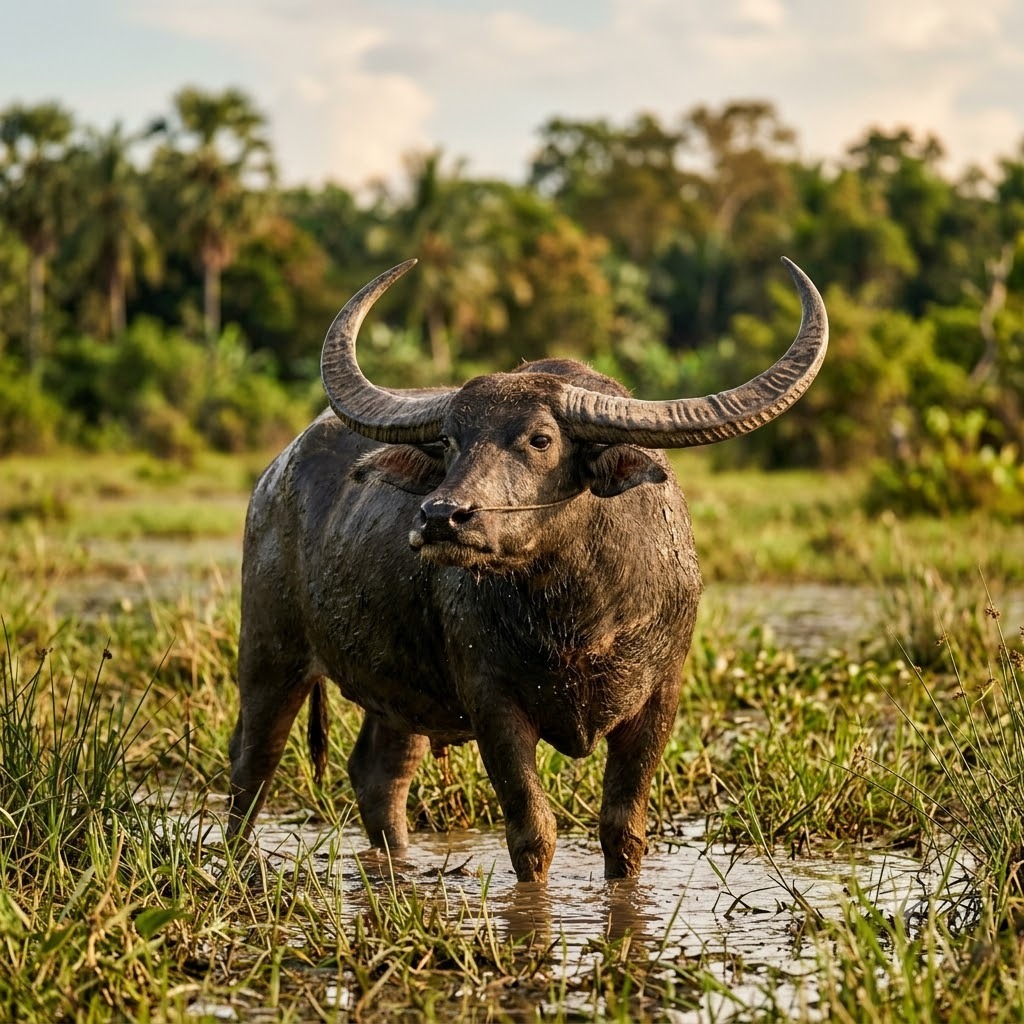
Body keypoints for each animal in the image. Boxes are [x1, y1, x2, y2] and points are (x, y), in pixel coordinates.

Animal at [228, 258, 828, 882]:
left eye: (541, 439)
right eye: (450, 439)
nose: (440, 516)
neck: (580, 613)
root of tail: (274, 473)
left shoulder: (659, 698)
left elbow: (624, 829)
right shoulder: (493, 704)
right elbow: (532, 831)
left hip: (399, 689)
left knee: (378, 774)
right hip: (270, 650)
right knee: (253, 762)